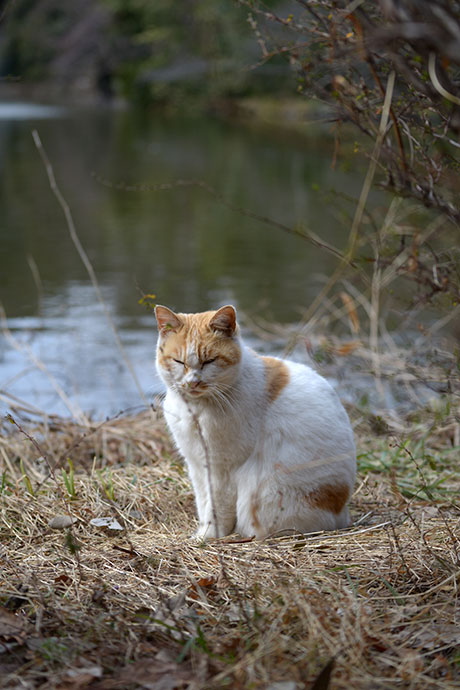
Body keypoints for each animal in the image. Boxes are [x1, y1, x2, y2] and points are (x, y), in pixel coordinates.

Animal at [155, 306, 356, 536]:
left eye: (210, 361)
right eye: (178, 362)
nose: (193, 383)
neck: (196, 408)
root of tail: (342, 515)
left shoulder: (222, 470)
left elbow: (216, 508)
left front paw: (210, 536)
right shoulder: (196, 464)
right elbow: (203, 501)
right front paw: (202, 532)